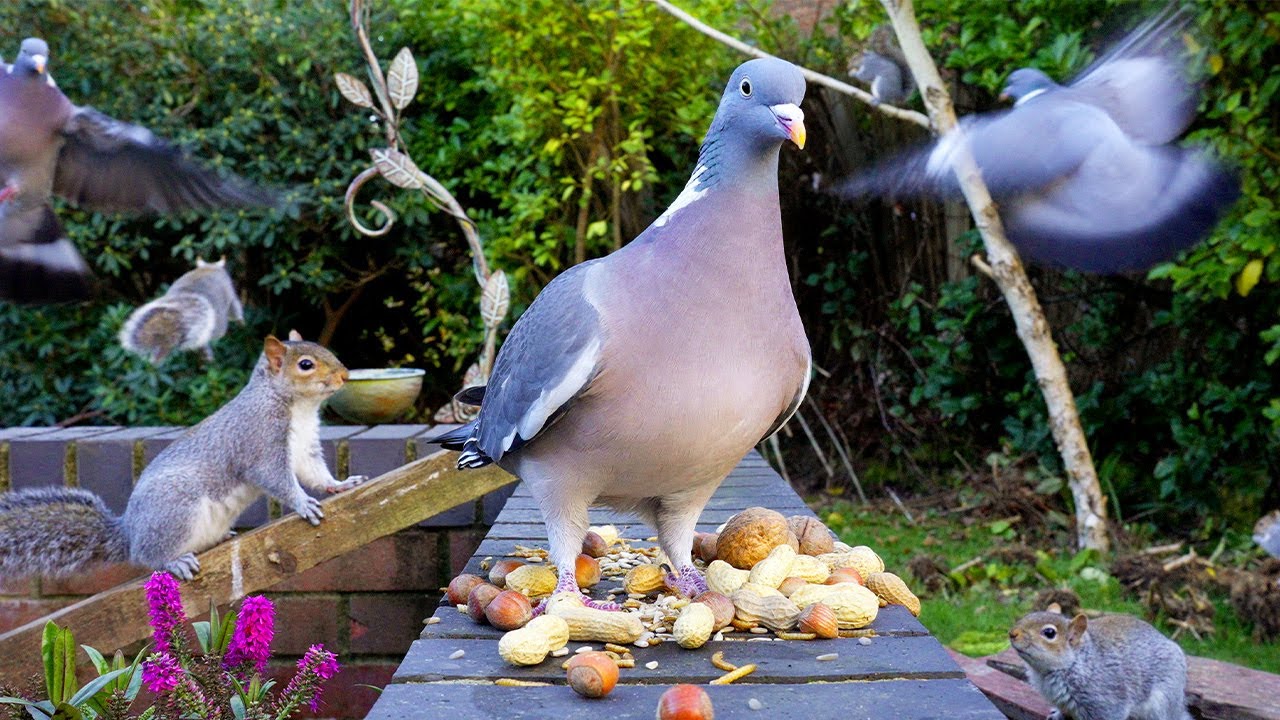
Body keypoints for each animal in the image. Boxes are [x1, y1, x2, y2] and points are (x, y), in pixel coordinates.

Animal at [0, 332, 366, 581]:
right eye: (306, 365)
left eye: (325, 350)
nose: (345, 375)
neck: (296, 407)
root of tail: (129, 530)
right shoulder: (259, 442)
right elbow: (276, 479)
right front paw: (303, 503)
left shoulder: (305, 449)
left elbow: (315, 472)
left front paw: (341, 484)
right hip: (175, 508)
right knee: (147, 555)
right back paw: (171, 560)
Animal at [1009, 606, 1193, 720]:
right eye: (1028, 615)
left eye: (1049, 633)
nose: (1012, 633)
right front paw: (1057, 715)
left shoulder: (1108, 701)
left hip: (1162, 701)